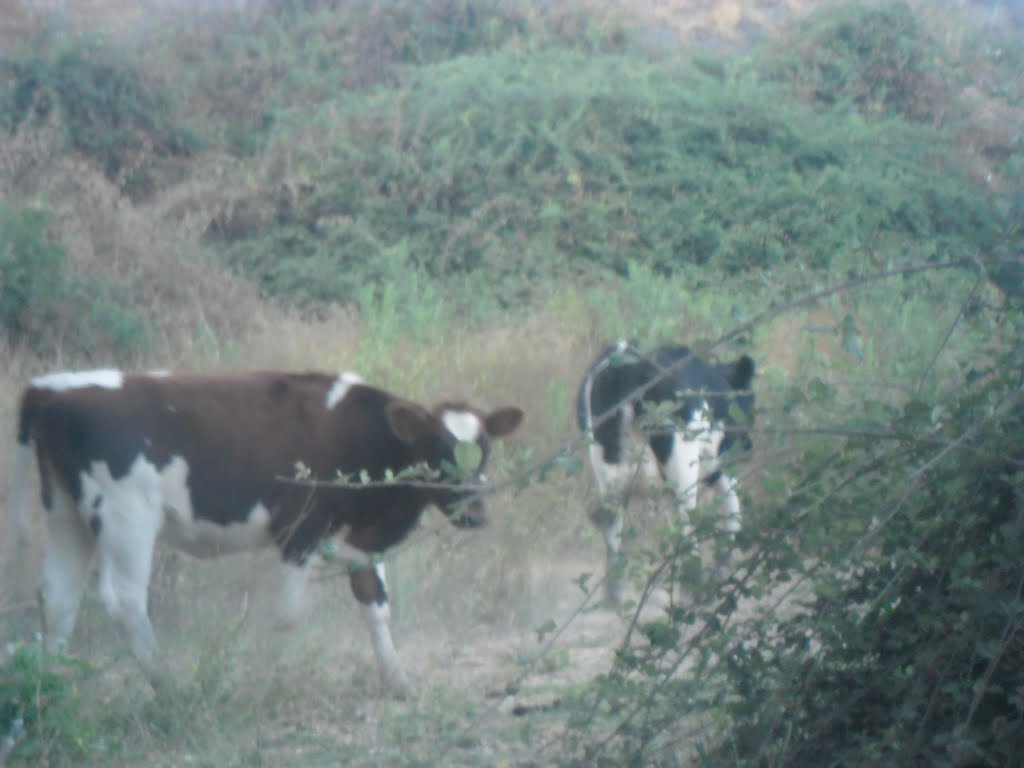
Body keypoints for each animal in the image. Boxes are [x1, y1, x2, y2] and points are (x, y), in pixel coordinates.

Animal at [8, 370, 520, 700]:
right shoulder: (300, 531)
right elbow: (287, 614)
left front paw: (397, 681)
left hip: (64, 513)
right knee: (124, 598)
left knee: (57, 596)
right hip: (126, 516)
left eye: (485, 450)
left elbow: (376, 604)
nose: (476, 514)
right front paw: (250, 673)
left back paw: (50, 687)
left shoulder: (358, 537)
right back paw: (166, 685)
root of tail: (49, 389)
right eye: (438, 452)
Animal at [577, 342, 753, 606]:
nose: (749, 446)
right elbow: (732, 513)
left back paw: (613, 597)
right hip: (683, 464)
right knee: (685, 522)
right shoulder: (720, 466)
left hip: (607, 466)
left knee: (610, 521)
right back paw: (695, 591)